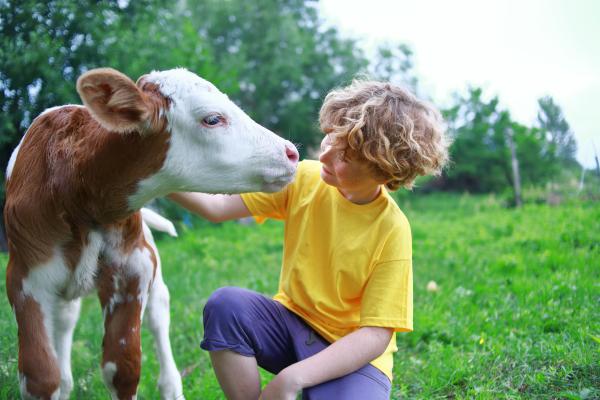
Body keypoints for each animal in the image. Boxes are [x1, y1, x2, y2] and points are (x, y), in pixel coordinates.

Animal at [2, 67, 298, 398]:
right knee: (66, 324)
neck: (77, 189)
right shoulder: (26, 278)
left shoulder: (134, 267)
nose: (290, 152)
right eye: (212, 119)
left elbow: (123, 367)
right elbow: (41, 375)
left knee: (158, 317)